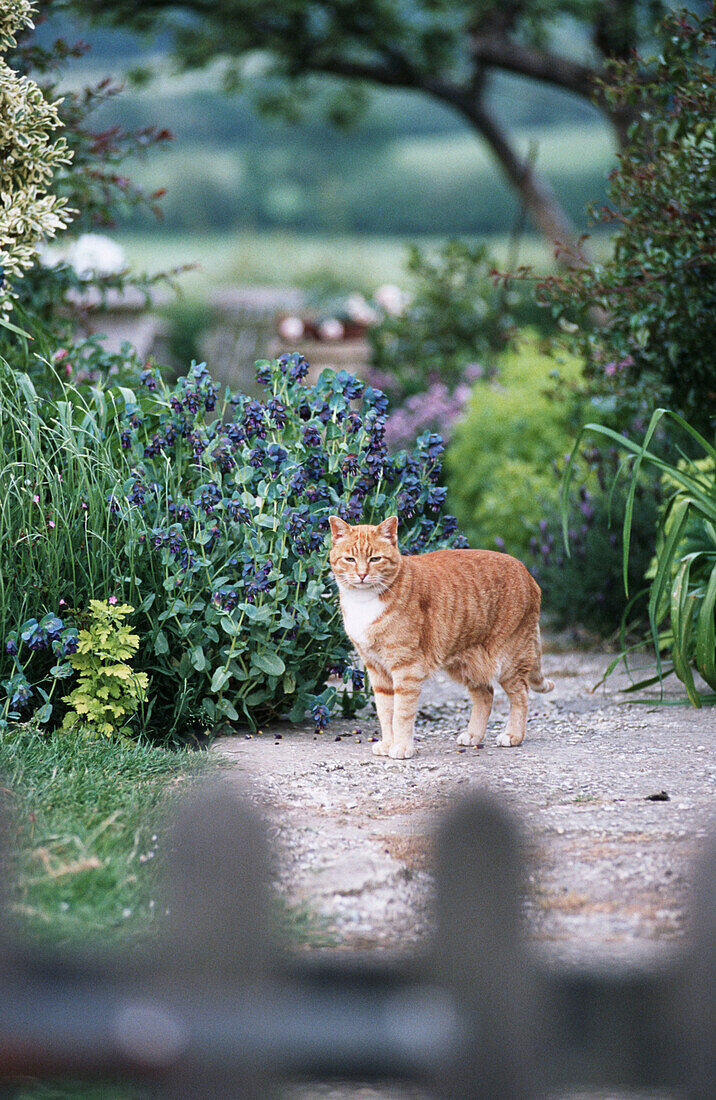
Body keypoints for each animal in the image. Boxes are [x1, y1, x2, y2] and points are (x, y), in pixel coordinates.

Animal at [329, 512, 554, 756]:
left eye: (375, 559)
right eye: (350, 559)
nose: (361, 575)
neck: (365, 602)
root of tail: (526, 571)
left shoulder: (406, 668)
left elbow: (401, 714)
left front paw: (401, 747)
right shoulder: (376, 668)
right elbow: (385, 712)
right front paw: (388, 744)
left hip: (509, 660)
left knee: (521, 695)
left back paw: (513, 735)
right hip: (468, 663)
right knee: (486, 694)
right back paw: (473, 735)